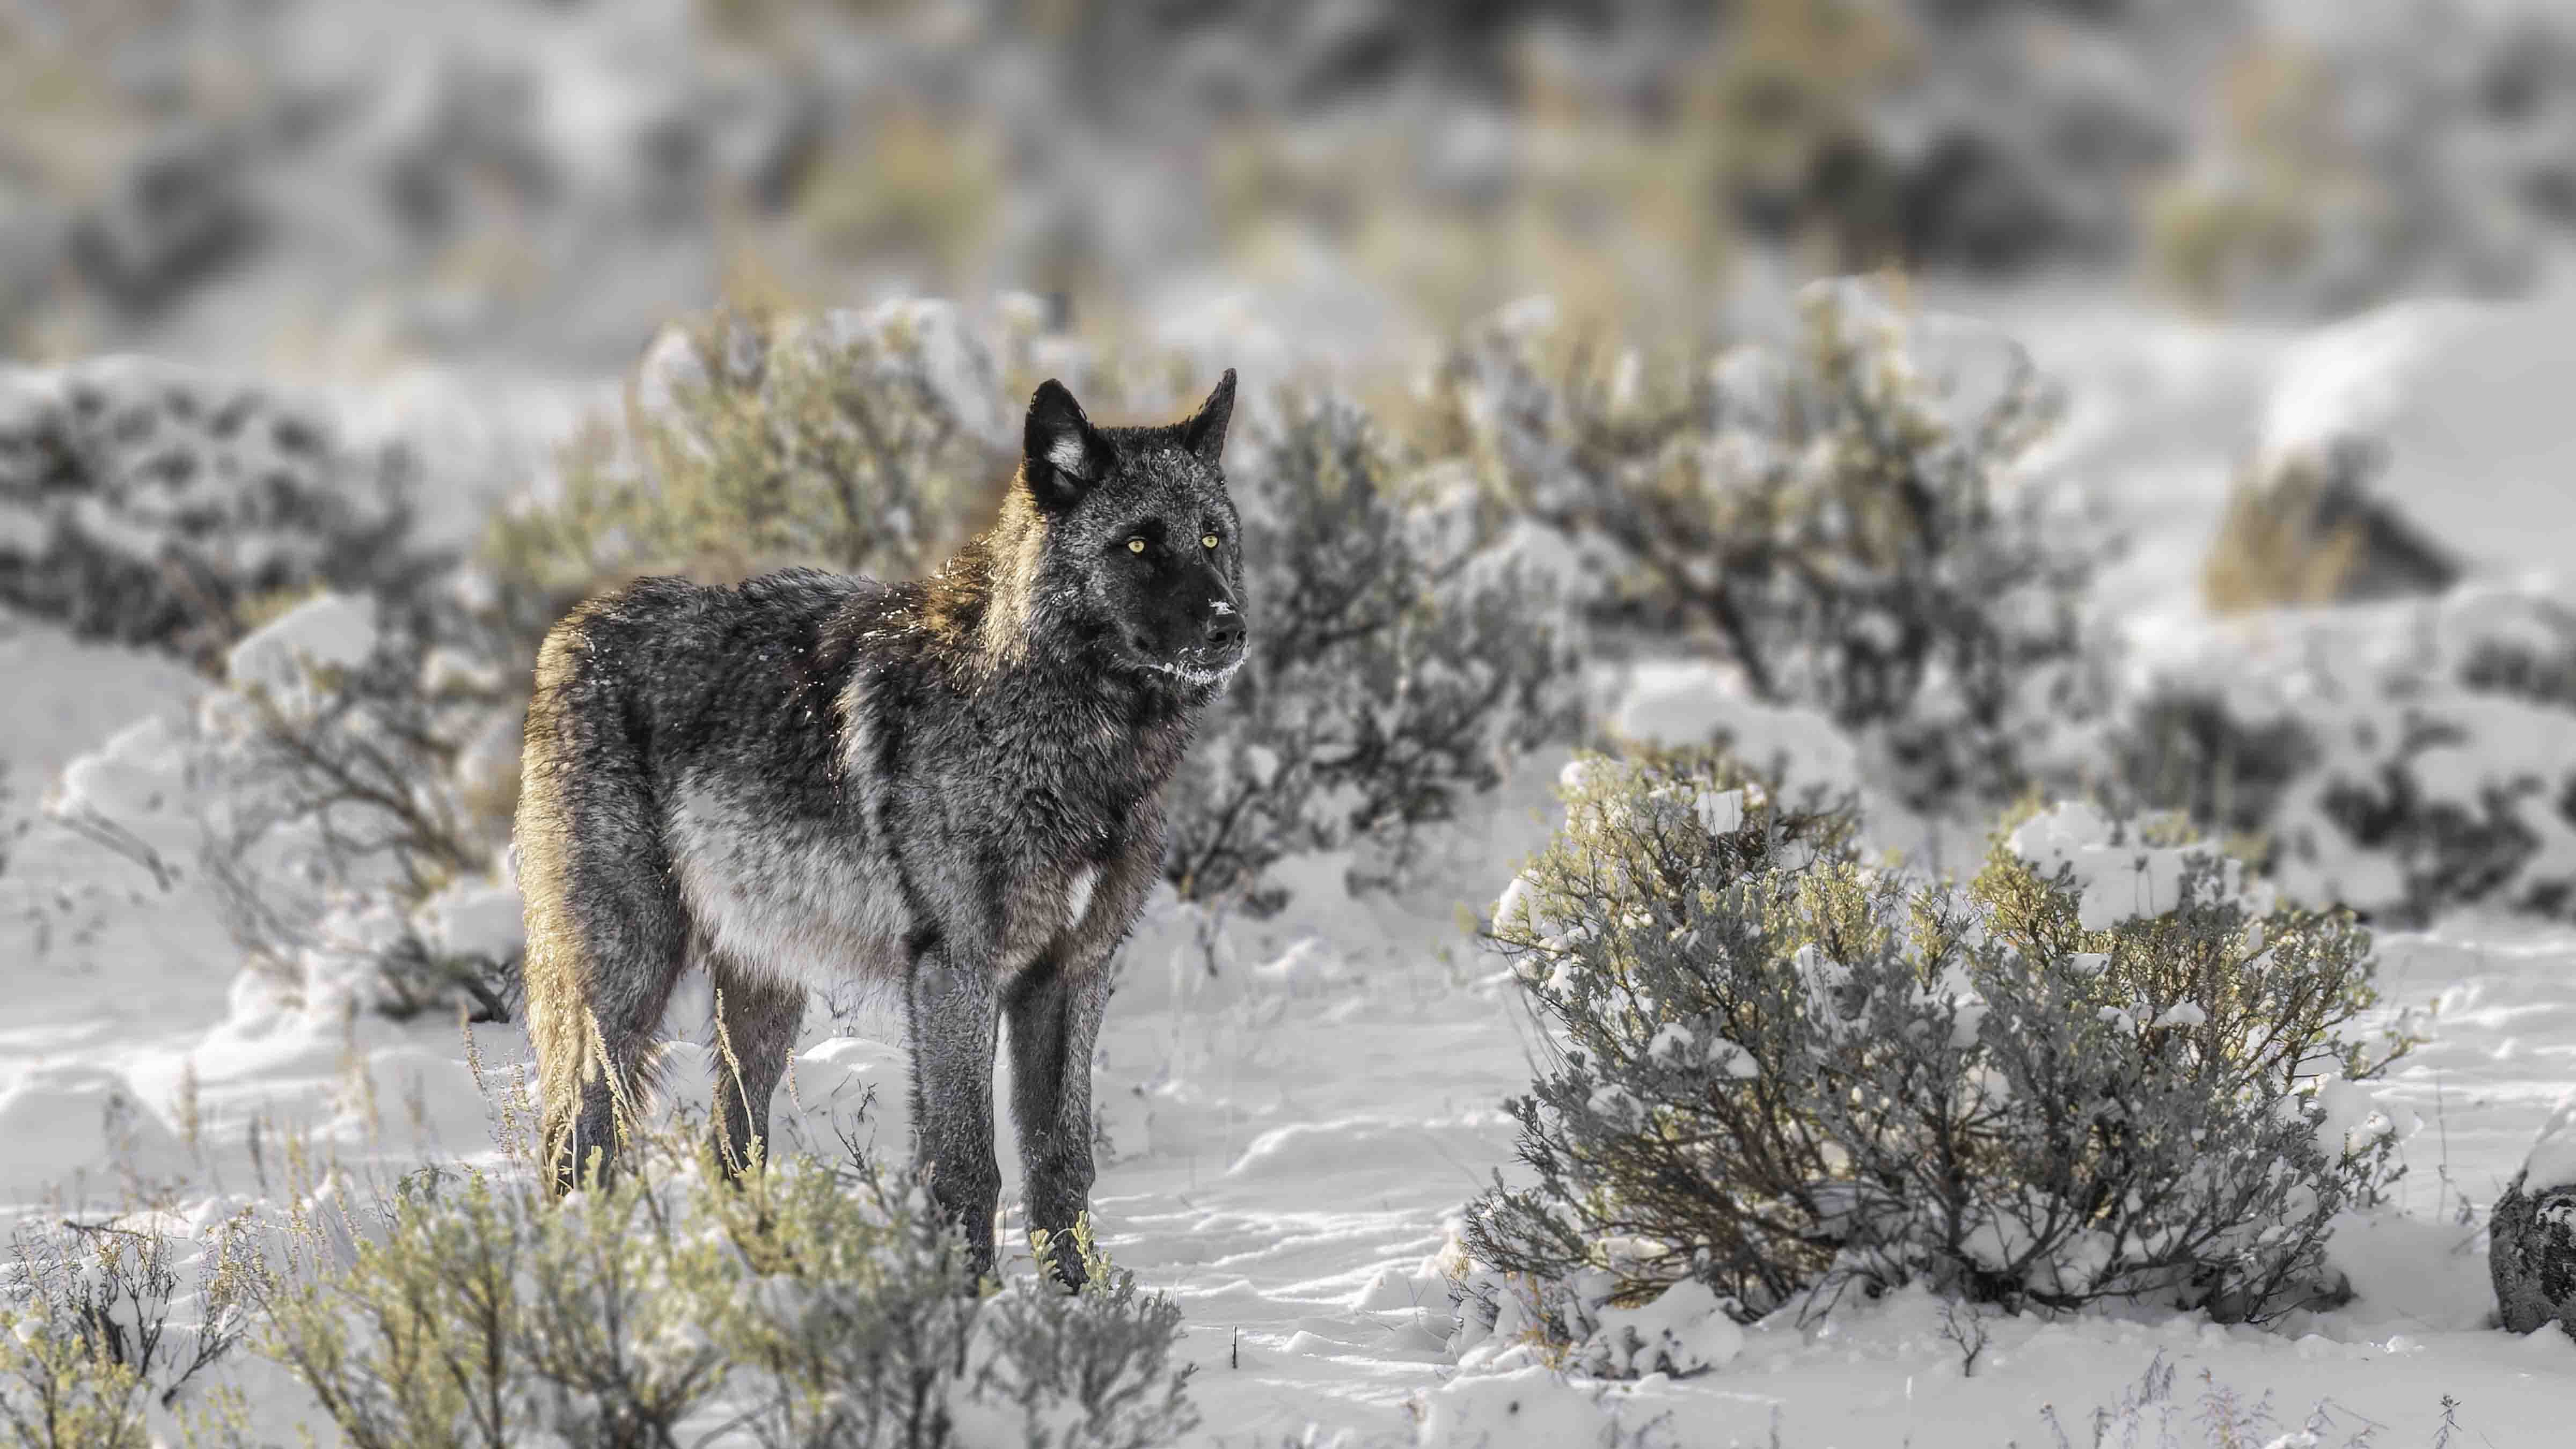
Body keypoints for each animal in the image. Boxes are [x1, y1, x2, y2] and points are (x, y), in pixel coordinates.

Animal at [515, 370, 1245, 1280]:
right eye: (1141, 547)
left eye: (1212, 539)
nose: (1230, 626)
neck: (1069, 735)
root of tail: (572, 628)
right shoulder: (956, 971)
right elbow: (967, 1164)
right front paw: (972, 1305)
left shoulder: (1072, 973)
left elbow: (1061, 1161)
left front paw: (1079, 1302)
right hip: (627, 985)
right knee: (576, 1150)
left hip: (763, 999)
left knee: (731, 1150)